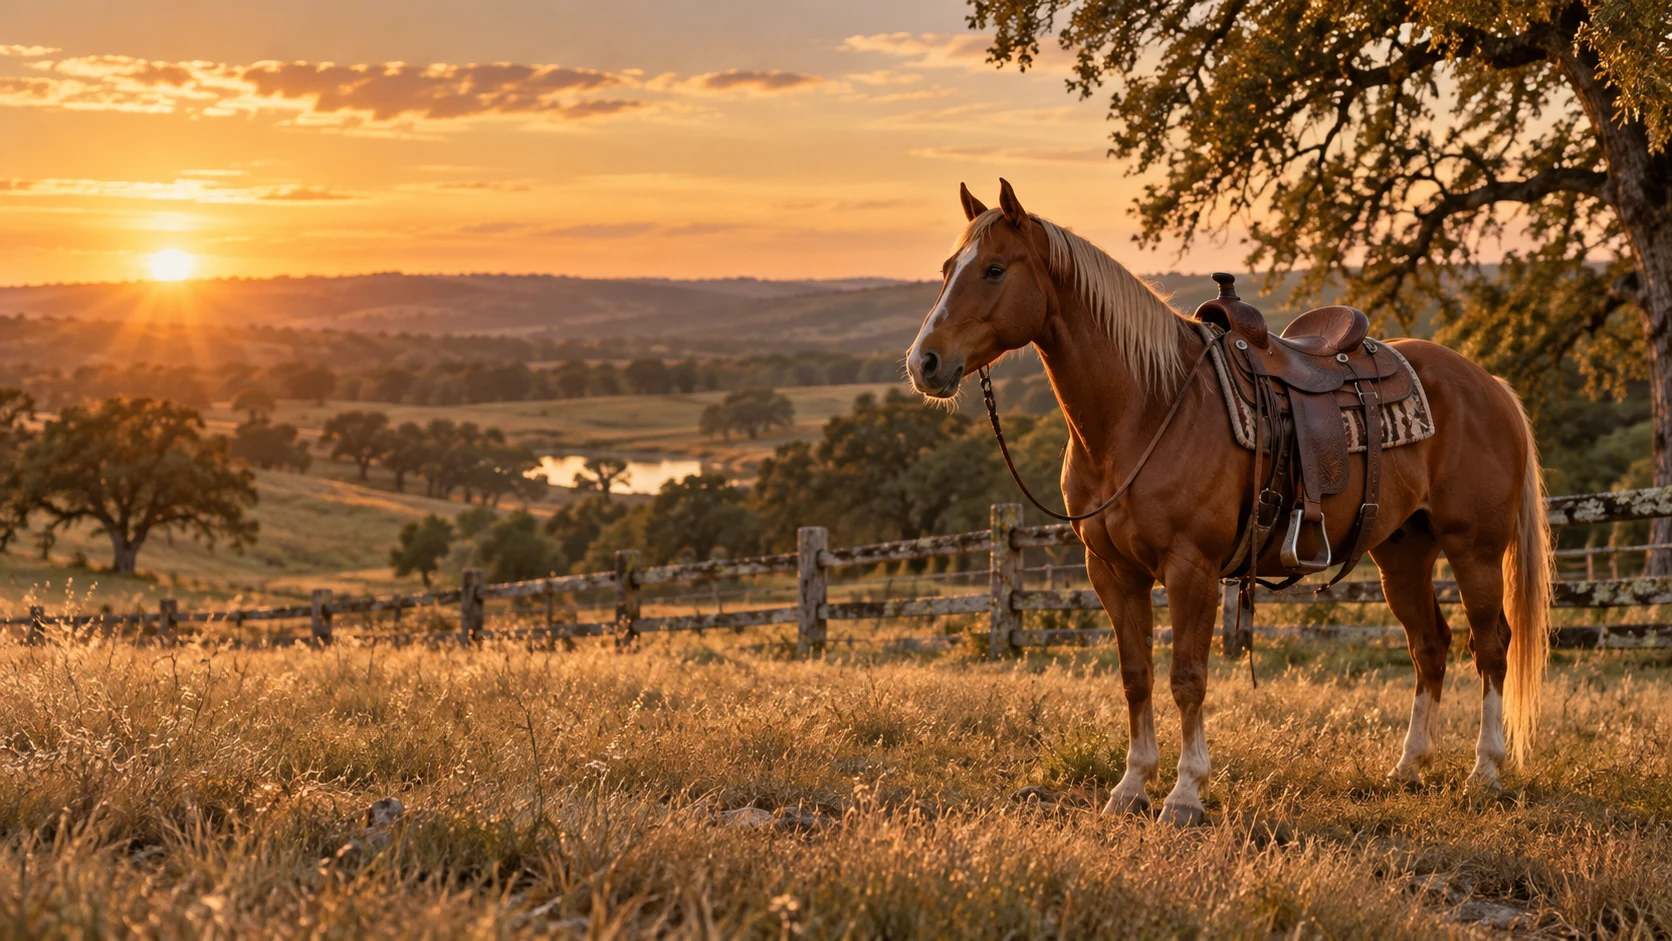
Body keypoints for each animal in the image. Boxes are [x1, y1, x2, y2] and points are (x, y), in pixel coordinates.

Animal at [905, 179, 1552, 826]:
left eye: (994, 269)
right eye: (947, 269)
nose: (924, 362)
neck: (1146, 407)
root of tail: (1490, 386)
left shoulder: (1191, 568)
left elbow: (1187, 677)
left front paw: (1185, 793)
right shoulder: (1111, 572)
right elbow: (1136, 675)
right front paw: (1131, 786)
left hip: (1474, 550)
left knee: (1490, 647)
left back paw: (1485, 771)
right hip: (1401, 554)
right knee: (1430, 647)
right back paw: (1409, 768)